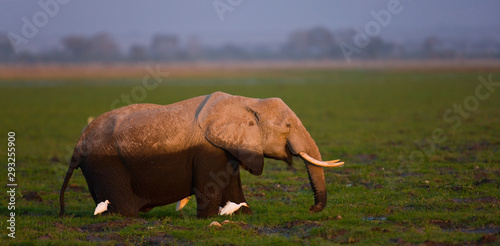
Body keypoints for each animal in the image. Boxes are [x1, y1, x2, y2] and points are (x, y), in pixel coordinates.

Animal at [57, 92, 340, 217]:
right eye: (288, 126)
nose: (312, 209)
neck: (247, 102)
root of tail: (76, 148)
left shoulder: (229, 148)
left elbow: (233, 183)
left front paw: (243, 215)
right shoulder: (208, 150)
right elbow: (210, 186)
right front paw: (208, 219)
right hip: (106, 164)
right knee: (124, 208)